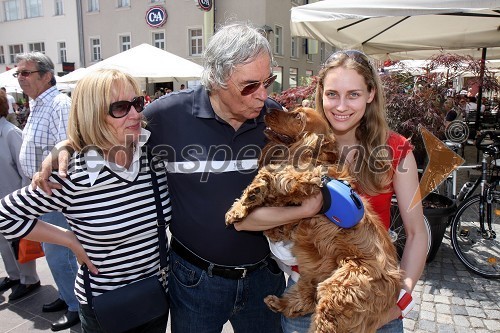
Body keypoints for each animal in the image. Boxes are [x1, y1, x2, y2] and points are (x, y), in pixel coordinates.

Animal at [227, 107, 402, 332]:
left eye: (298, 116)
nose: (269, 109)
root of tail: (394, 292)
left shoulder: (312, 180)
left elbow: (282, 175)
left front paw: (259, 188)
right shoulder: (283, 225)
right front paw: (240, 206)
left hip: (343, 287)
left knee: (324, 319)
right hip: (314, 275)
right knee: (305, 300)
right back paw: (278, 303)